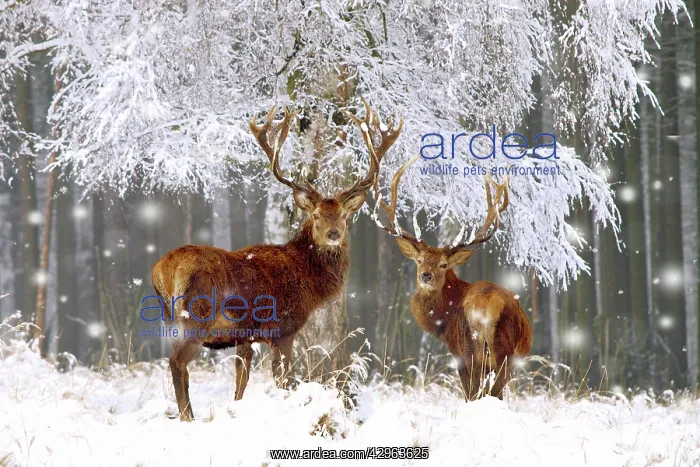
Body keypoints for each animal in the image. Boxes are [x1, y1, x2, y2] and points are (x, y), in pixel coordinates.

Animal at [151, 102, 403, 420]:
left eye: (344, 215)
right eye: (316, 215)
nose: (333, 234)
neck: (308, 280)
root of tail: (163, 269)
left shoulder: (245, 338)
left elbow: (240, 385)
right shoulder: (284, 329)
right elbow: (283, 380)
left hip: (170, 318)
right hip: (196, 315)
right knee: (177, 362)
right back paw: (188, 418)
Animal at [363, 150, 532, 401]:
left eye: (443, 265)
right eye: (419, 260)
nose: (425, 276)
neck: (444, 319)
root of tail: (487, 307)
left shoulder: (456, 349)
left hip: (477, 351)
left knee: (480, 392)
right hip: (496, 355)